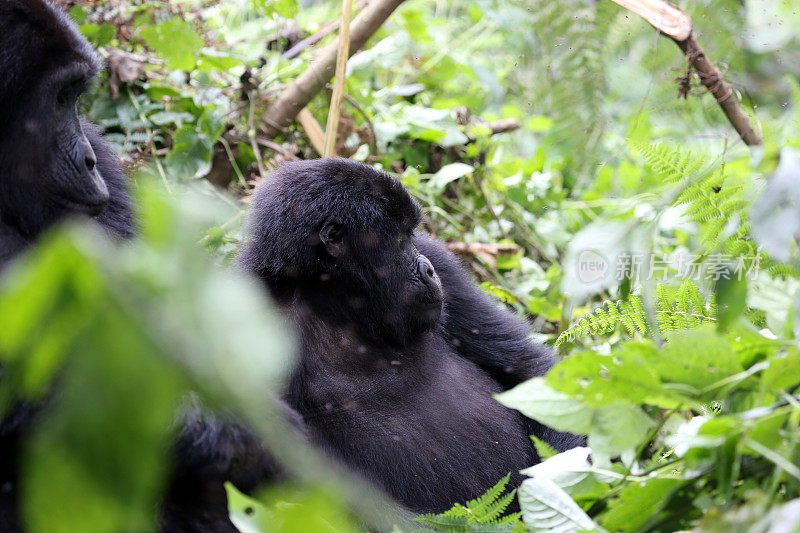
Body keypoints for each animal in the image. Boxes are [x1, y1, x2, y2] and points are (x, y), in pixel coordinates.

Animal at [238, 159, 580, 516]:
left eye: (412, 235)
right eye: (400, 240)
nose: (428, 269)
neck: (330, 300)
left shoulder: (443, 262)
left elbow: (530, 370)